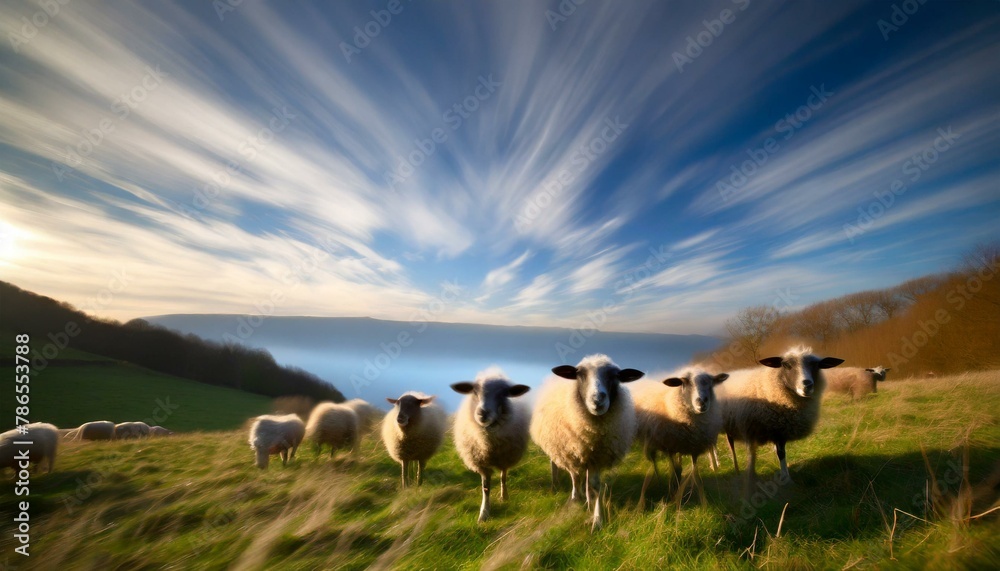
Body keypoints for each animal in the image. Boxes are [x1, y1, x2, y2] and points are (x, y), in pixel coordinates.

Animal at [451, 367, 532, 522]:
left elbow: (503, 477)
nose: (482, 413)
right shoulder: (481, 463)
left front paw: (504, 497)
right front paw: (484, 513)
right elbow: (486, 488)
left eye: (503, 393)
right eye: (474, 391)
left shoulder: (505, 458)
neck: (488, 444)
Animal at [529, 353, 644, 531]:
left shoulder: (597, 456)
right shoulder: (572, 452)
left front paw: (597, 518)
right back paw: (557, 485)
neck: (593, 433)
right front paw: (576, 499)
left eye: (615, 376)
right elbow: (575, 477)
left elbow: (595, 486)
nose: (597, 399)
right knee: (556, 464)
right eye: (580, 374)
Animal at [632, 368, 729, 506]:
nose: (702, 401)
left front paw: (703, 503)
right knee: (654, 462)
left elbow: (696, 476)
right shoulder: (670, 447)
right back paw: (658, 482)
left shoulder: (694, 449)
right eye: (684, 382)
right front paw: (674, 495)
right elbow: (674, 472)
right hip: (652, 442)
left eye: (711, 382)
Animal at [717, 345, 843, 488]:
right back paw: (722, 466)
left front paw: (785, 474)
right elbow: (775, 453)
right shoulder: (757, 429)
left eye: (816, 365)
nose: (807, 385)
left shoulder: (779, 431)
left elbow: (781, 453)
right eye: (786, 365)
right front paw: (783, 478)